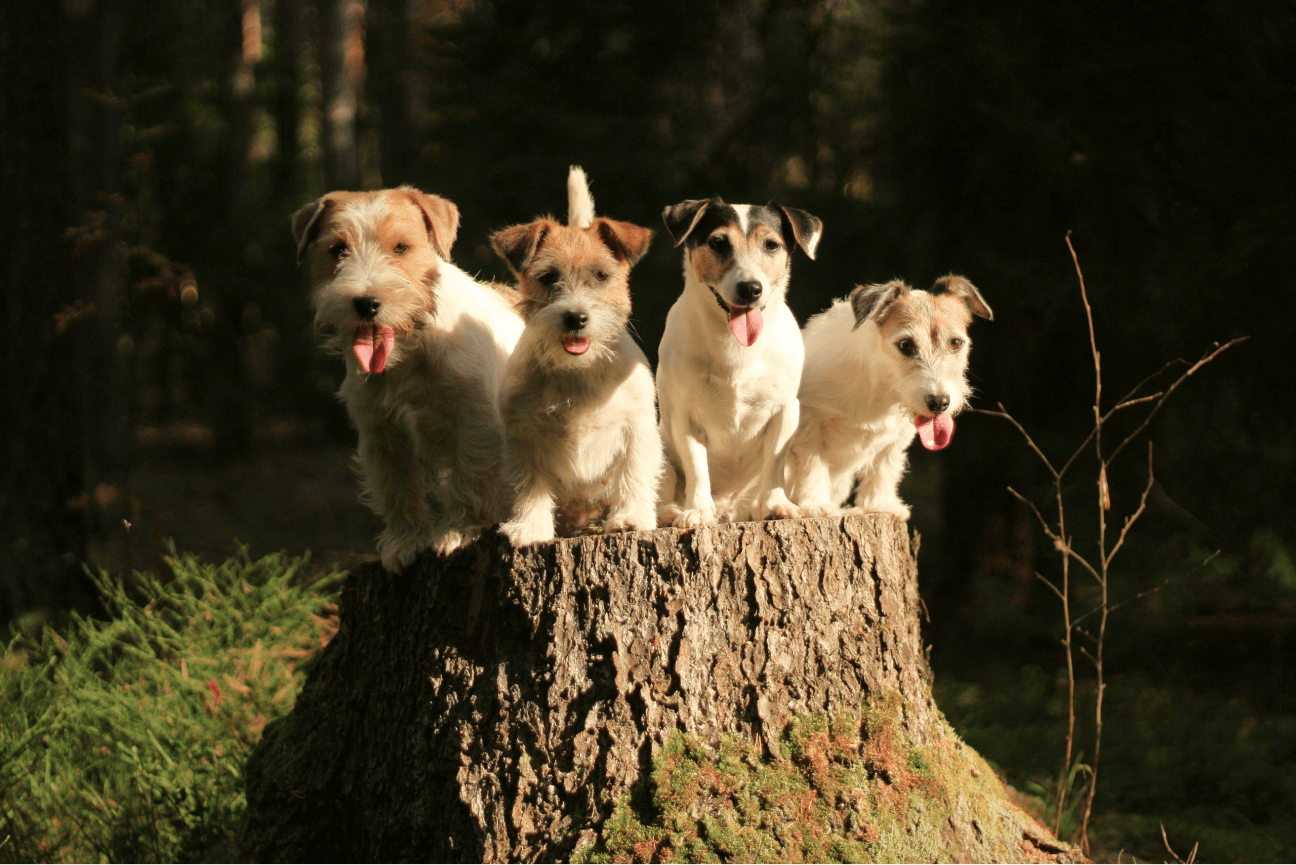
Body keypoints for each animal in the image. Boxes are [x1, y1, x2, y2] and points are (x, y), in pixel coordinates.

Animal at [291, 186, 523, 570]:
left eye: (401, 247)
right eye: (337, 249)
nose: (367, 303)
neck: (411, 348)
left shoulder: (476, 421)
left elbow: (470, 475)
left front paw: (459, 531)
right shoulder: (382, 432)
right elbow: (397, 488)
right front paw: (406, 541)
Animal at [489, 169, 663, 547]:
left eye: (601, 275)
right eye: (548, 277)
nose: (576, 317)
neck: (577, 371)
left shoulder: (637, 427)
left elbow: (633, 474)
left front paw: (630, 518)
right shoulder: (524, 435)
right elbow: (530, 487)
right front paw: (530, 527)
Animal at [653, 199, 824, 529]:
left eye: (771, 245)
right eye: (719, 243)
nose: (750, 288)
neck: (736, 349)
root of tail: (728, 509)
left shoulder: (785, 410)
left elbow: (774, 463)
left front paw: (776, 504)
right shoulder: (684, 418)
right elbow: (697, 468)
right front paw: (696, 510)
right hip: (658, 452)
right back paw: (673, 511)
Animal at [787, 277, 990, 521]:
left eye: (956, 343)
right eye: (906, 345)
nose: (939, 402)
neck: (879, 387)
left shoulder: (897, 436)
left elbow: (883, 468)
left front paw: (880, 505)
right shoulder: (809, 422)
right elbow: (812, 464)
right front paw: (816, 504)